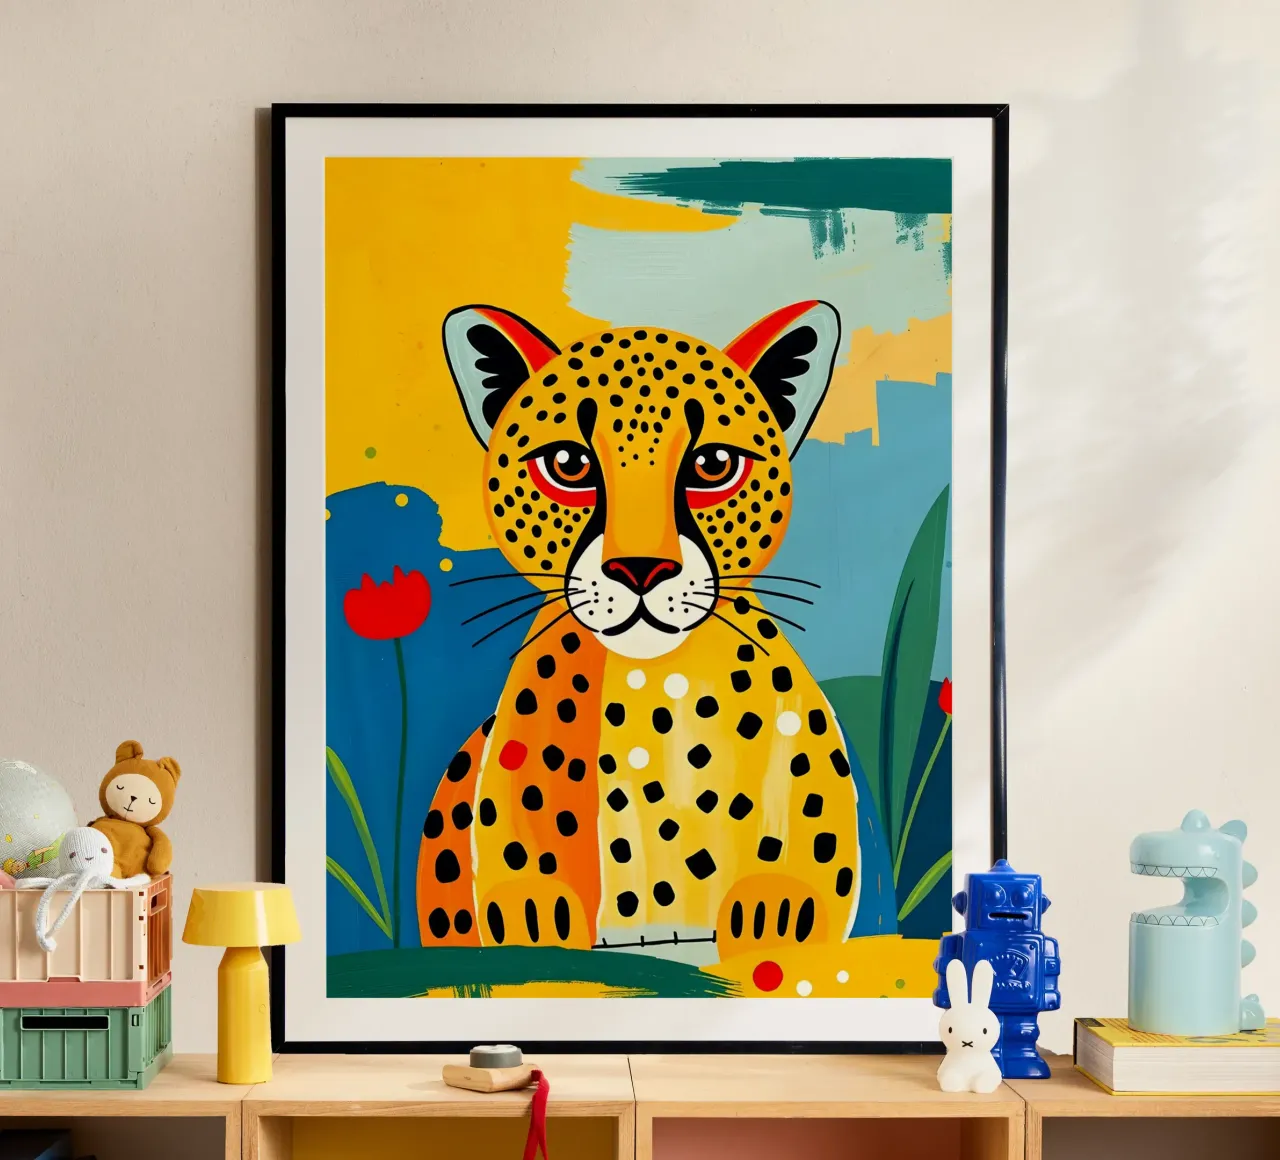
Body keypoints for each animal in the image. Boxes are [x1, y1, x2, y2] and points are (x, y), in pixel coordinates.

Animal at [415, 299, 861, 971]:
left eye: (713, 466)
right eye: (569, 466)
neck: (655, 678)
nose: (641, 570)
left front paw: (777, 905)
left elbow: (812, 849)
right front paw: (531, 907)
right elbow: (518, 847)